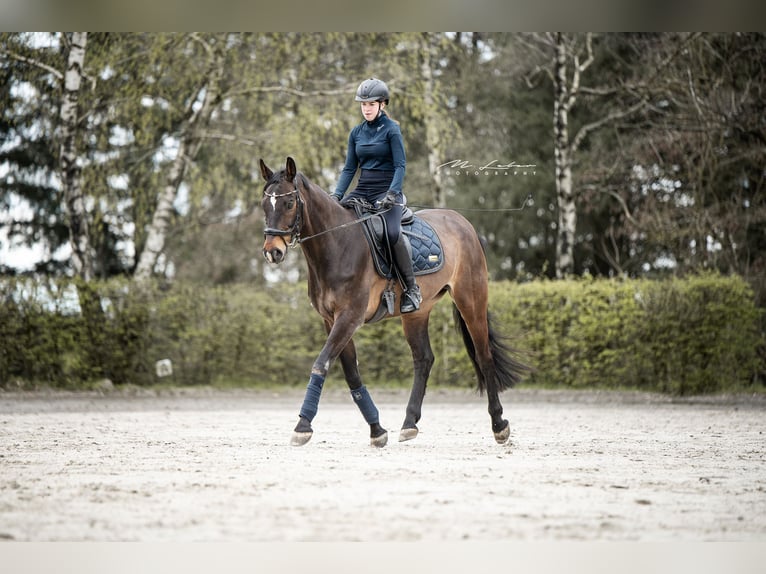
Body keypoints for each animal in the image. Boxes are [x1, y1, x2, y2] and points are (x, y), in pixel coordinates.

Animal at [258, 158, 528, 450]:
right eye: (264, 205)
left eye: (289, 203)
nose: (272, 252)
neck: (337, 245)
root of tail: (464, 224)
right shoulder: (331, 320)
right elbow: (351, 373)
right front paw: (376, 429)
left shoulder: (349, 317)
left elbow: (321, 364)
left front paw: (303, 426)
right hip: (417, 313)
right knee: (424, 359)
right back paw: (409, 423)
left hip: (471, 300)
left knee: (484, 356)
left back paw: (499, 424)